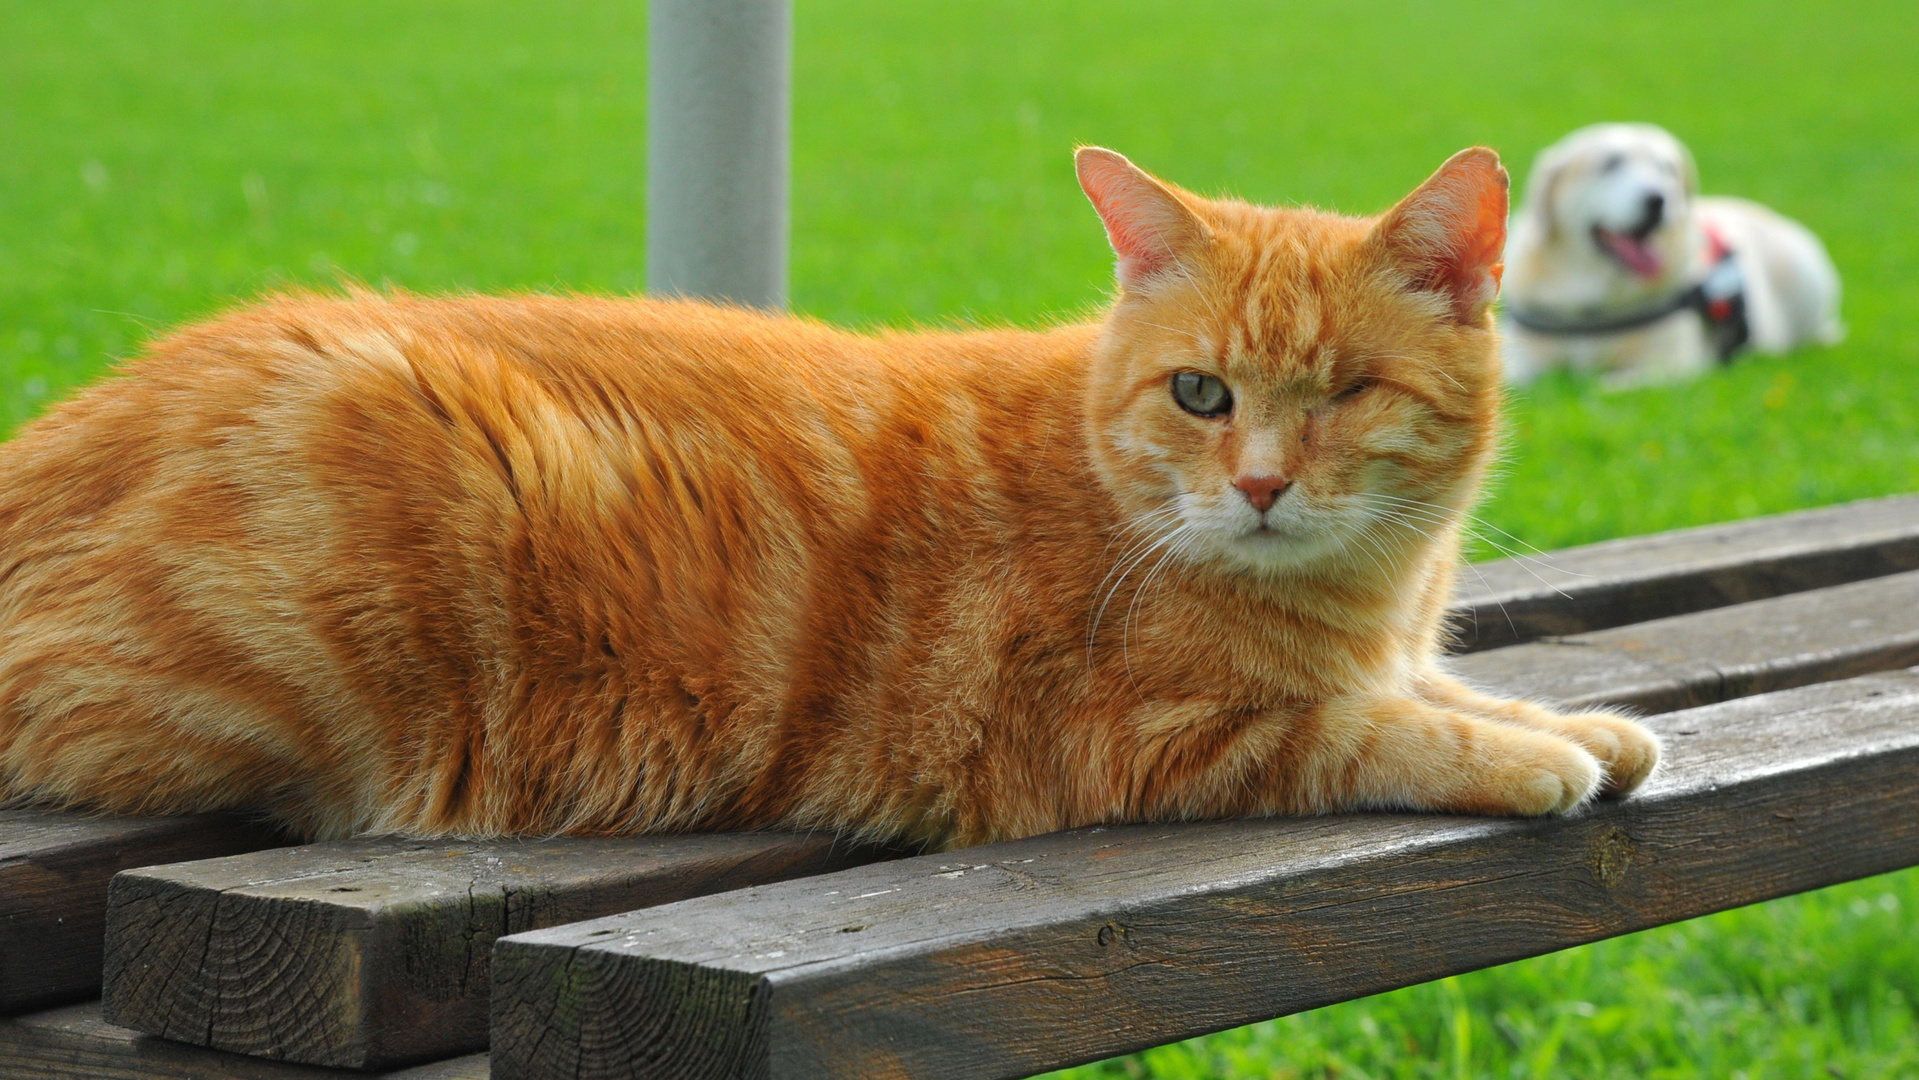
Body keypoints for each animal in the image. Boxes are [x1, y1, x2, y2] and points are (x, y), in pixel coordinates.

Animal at [0, 147, 1650, 847]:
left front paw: (1585, 725)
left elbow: (1453, 691)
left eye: (1344, 395)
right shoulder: (1136, 741)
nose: (1255, 485)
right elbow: (1374, 729)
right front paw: (1531, 758)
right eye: (1200, 395)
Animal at [1496, 123, 1842, 383]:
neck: (1593, 299)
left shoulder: (1673, 365)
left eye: (1667, 168)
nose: (1658, 198)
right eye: (1610, 164)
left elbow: (1610, 383)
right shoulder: (1522, 356)